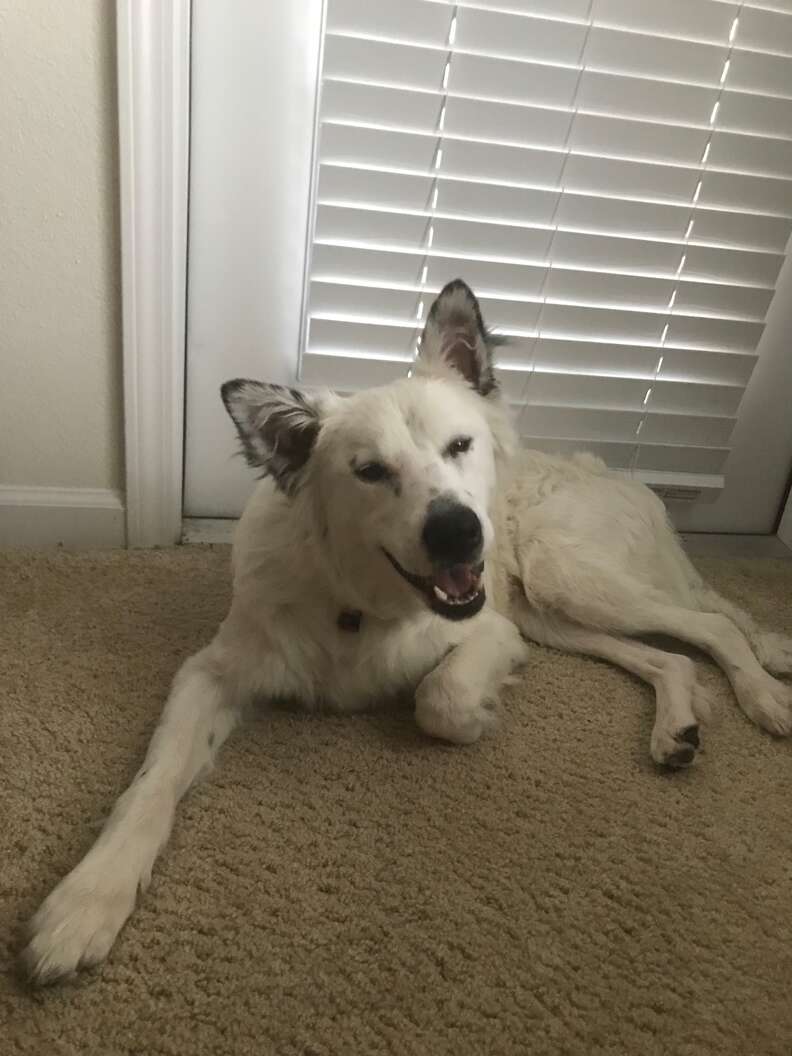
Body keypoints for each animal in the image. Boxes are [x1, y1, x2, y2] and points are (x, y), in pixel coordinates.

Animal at [24, 278, 792, 979]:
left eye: (460, 445)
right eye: (370, 471)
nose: (459, 532)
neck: (360, 601)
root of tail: (620, 476)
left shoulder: (492, 633)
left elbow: (439, 698)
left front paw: (477, 718)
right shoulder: (212, 672)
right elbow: (150, 784)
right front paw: (86, 901)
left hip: (568, 579)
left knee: (713, 625)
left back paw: (765, 697)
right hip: (554, 615)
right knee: (671, 657)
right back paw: (677, 729)